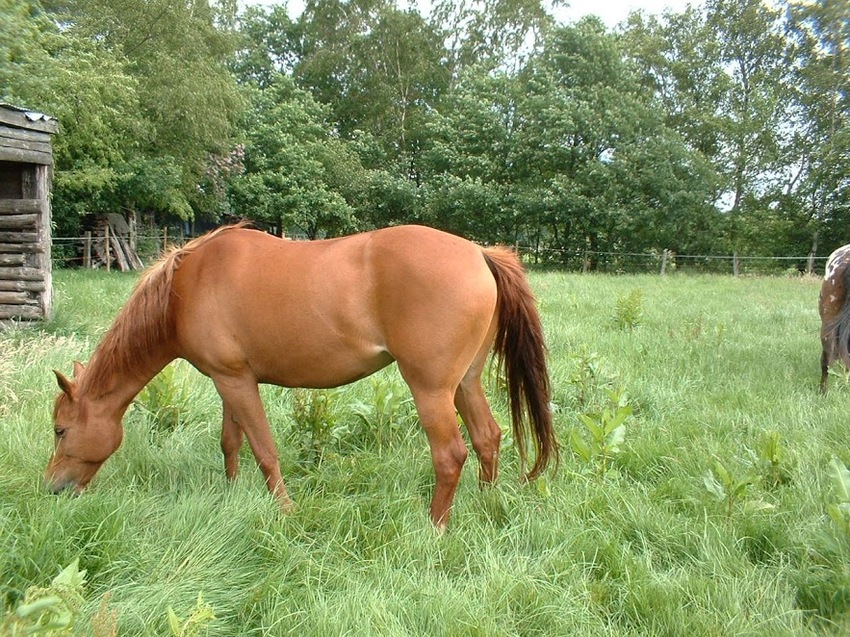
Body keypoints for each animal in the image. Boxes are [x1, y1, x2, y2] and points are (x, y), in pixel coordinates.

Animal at [45, 224, 558, 529]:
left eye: (60, 430)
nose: (52, 489)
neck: (185, 287)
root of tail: (478, 252)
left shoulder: (236, 381)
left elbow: (264, 451)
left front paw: (286, 511)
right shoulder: (228, 380)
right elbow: (231, 443)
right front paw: (232, 494)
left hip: (431, 390)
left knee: (451, 455)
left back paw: (434, 527)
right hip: (465, 383)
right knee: (487, 437)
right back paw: (484, 504)